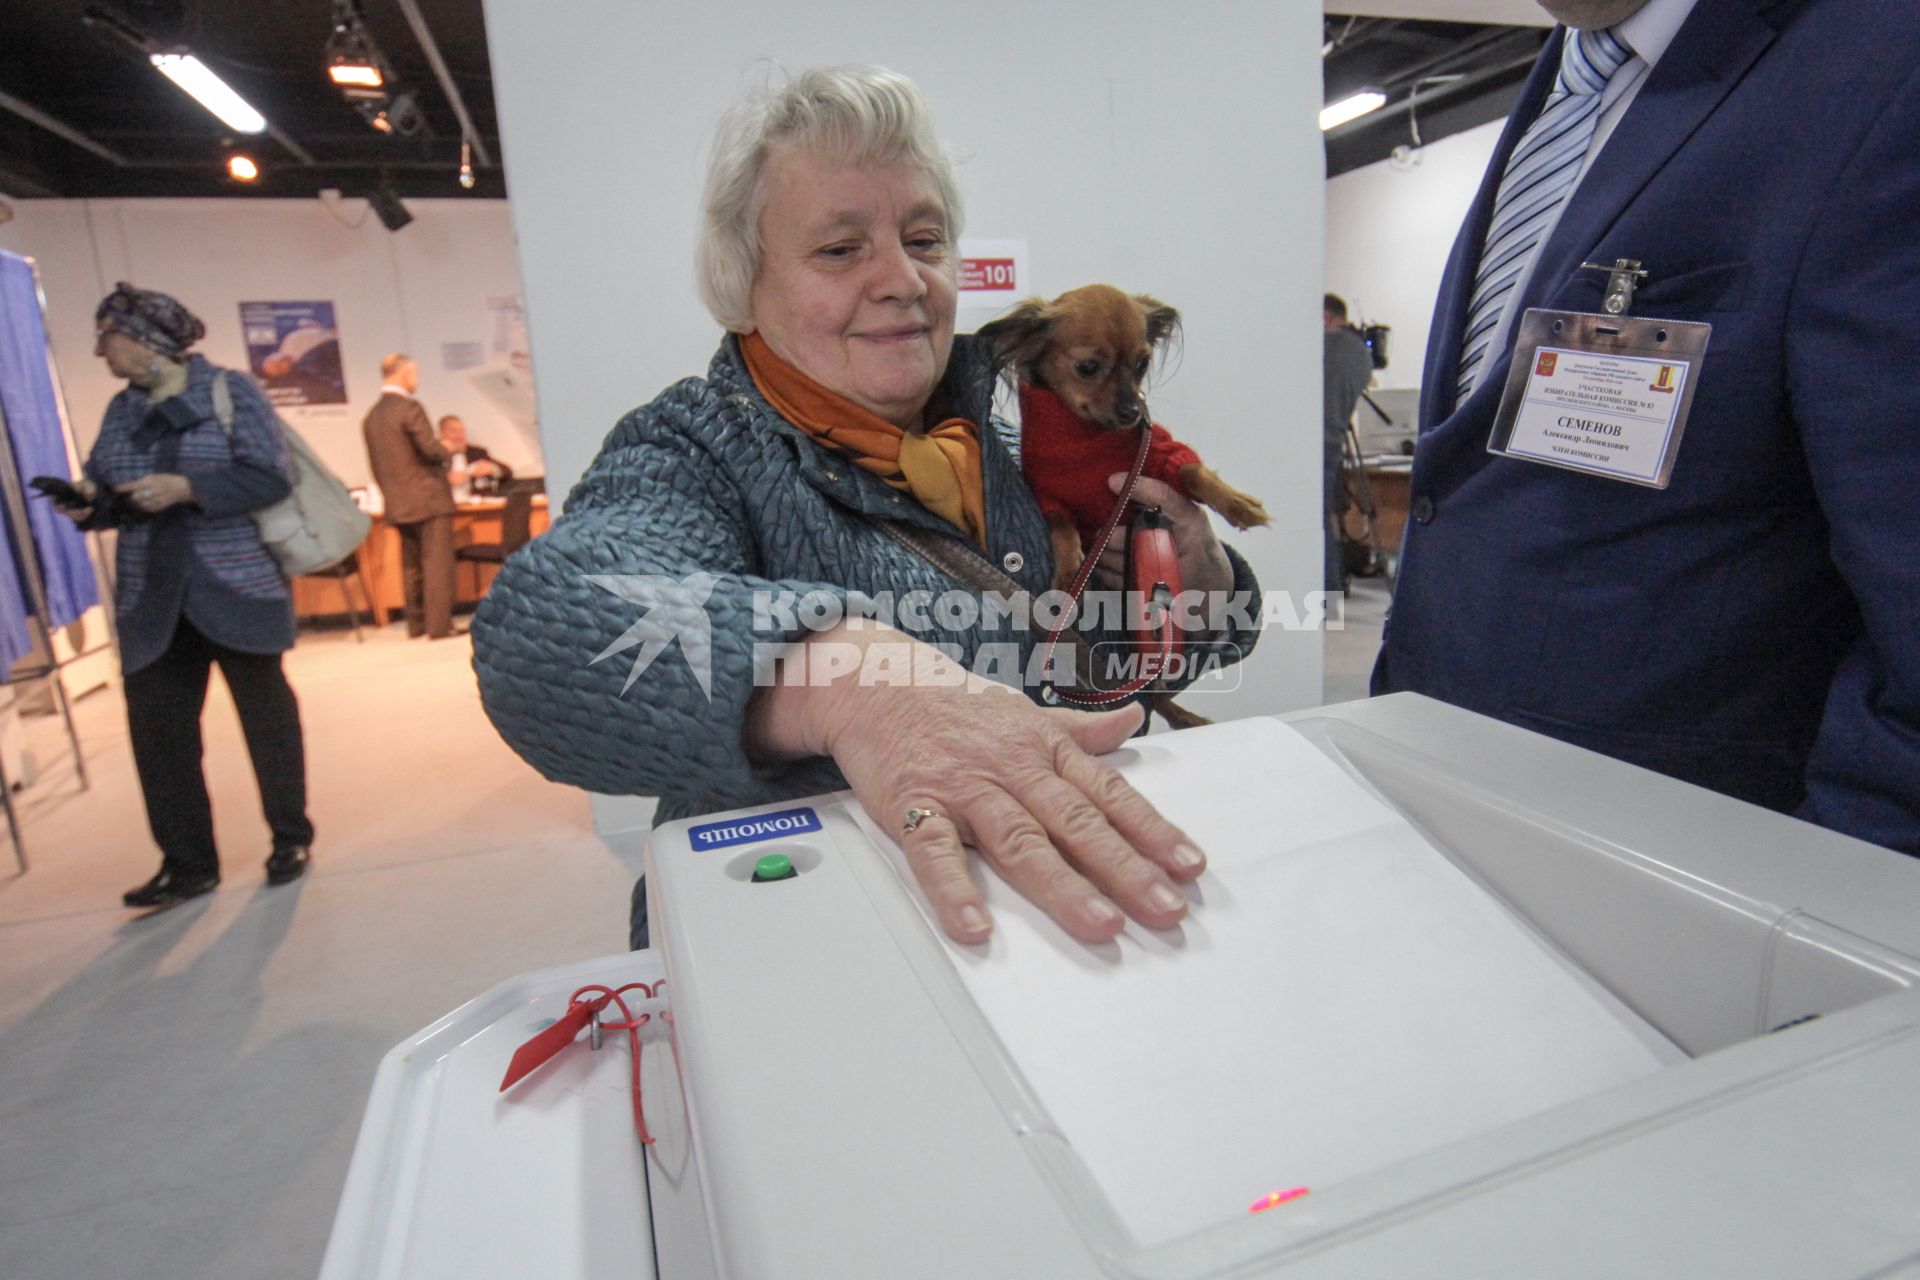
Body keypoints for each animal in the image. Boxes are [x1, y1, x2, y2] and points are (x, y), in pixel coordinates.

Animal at [983, 285, 1267, 591]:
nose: (1133, 412)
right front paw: (1069, 574)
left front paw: (1238, 504)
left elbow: (1191, 471)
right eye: (1088, 367)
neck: (1084, 438)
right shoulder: (1049, 497)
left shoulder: (1157, 457)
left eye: (1142, 364)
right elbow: (1062, 528)